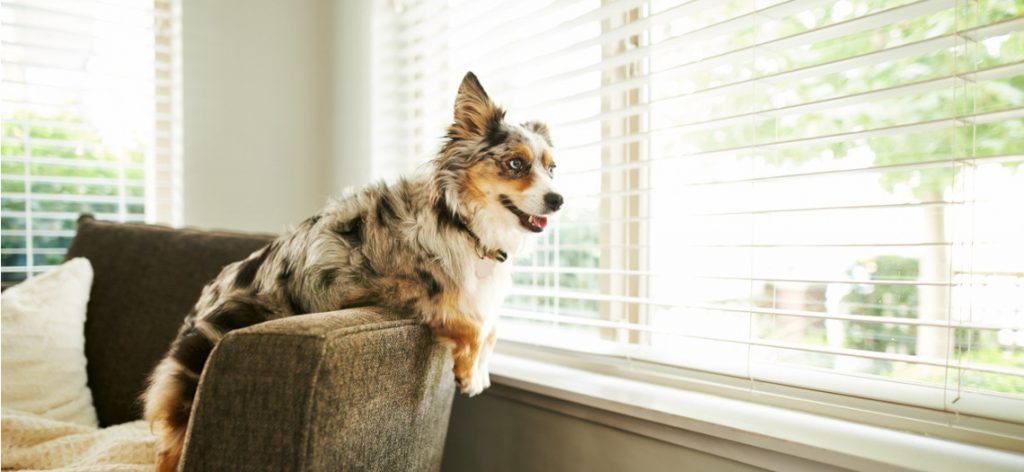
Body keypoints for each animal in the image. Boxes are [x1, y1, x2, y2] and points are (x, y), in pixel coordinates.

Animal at [141, 71, 565, 468]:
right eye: (515, 164)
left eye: (552, 169)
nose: (558, 199)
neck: (460, 221)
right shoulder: (398, 285)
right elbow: (473, 322)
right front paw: (469, 373)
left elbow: (491, 326)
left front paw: (481, 370)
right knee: (170, 449)